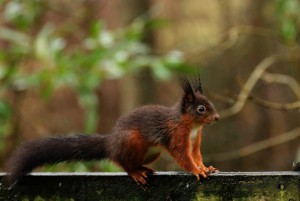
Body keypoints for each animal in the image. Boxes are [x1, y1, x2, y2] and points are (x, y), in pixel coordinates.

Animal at [3, 76, 219, 186]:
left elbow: (195, 155)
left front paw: (205, 167)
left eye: (210, 103)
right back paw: (136, 172)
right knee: (123, 162)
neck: (191, 126)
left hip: (151, 152)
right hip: (131, 141)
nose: (217, 117)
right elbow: (183, 156)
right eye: (201, 109)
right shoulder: (175, 136)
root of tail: (110, 143)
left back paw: (144, 168)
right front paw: (196, 170)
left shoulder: (195, 140)